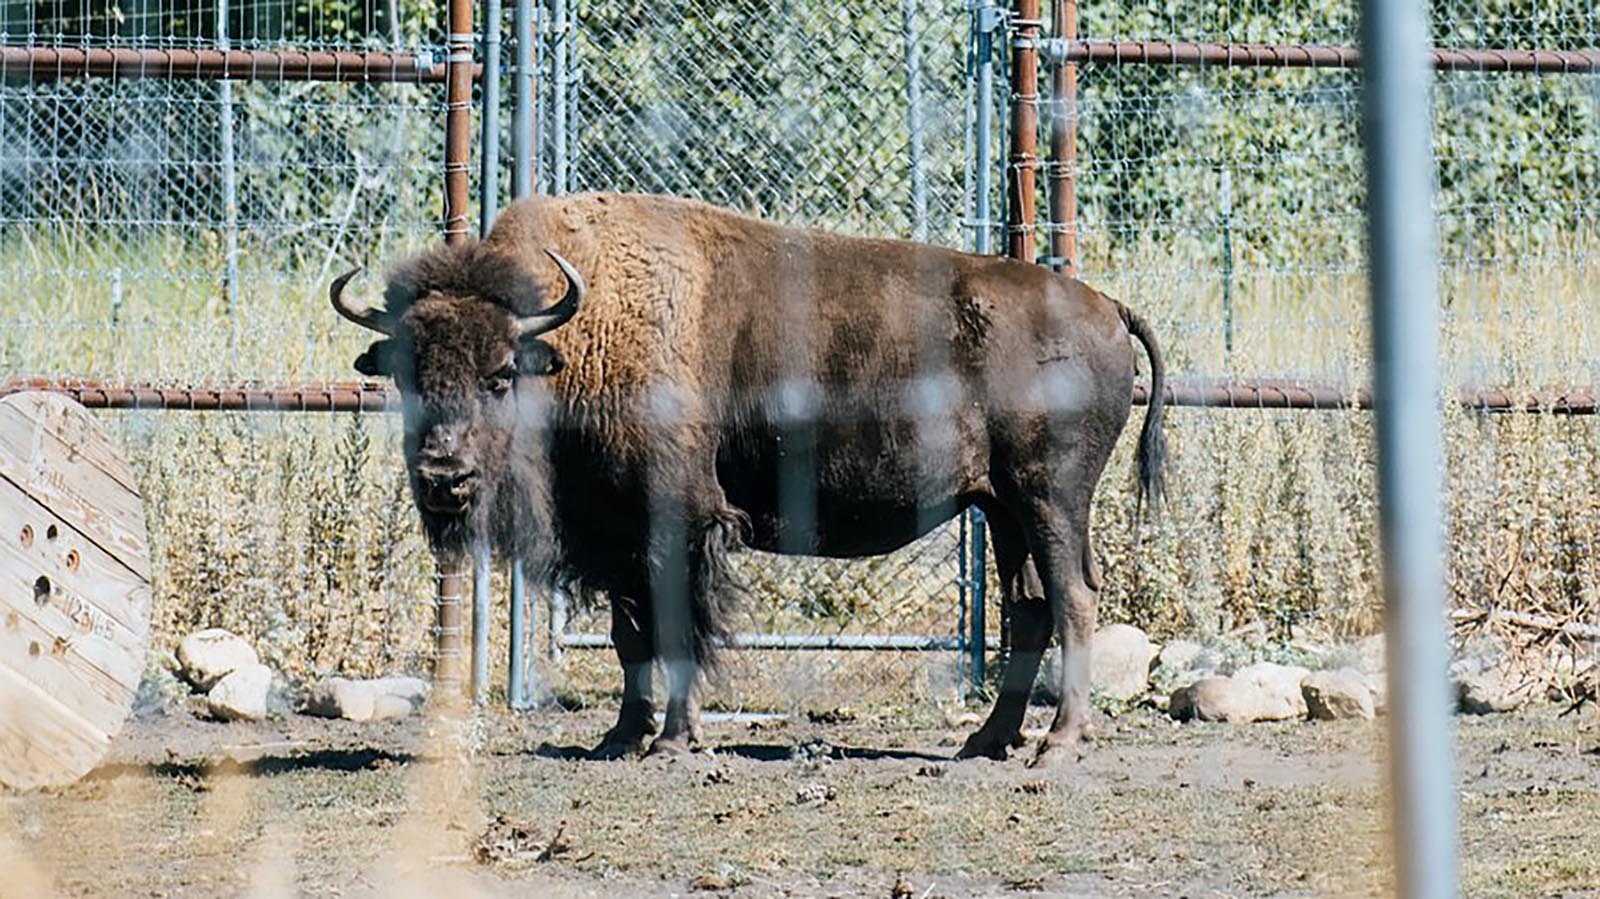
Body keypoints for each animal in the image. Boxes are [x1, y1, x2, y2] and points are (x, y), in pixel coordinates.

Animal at [334, 190, 1164, 761]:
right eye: (406, 374)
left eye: (501, 373)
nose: (444, 473)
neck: (577, 335)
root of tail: (1106, 306)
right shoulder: (616, 534)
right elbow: (630, 637)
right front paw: (619, 738)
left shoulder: (676, 522)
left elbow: (675, 631)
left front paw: (673, 740)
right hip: (1001, 509)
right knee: (1030, 607)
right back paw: (985, 741)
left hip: (1050, 498)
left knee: (1074, 596)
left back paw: (1057, 743)